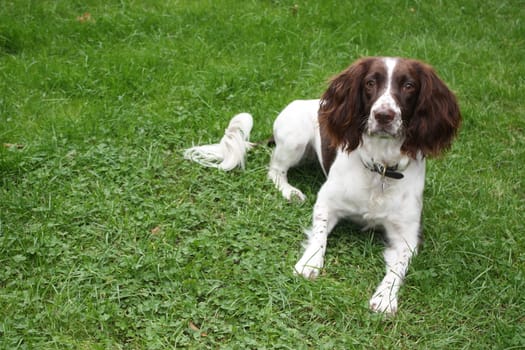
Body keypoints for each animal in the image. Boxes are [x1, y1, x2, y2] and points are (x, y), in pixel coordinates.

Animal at [183, 56, 458, 314]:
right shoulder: (326, 203)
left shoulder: (408, 236)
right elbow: (319, 235)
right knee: (275, 170)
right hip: (294, 140)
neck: (380, 168)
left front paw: (385, 298)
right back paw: (290, 191)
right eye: (370, 83)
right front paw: (309, 263)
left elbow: (398, 267)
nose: (383, 115)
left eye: (409, 85)